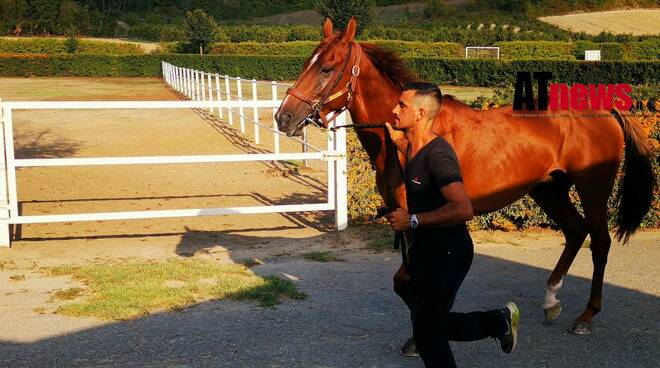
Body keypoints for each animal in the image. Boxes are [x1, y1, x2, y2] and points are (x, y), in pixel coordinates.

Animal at [274, 17, 656, 340]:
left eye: (326, 68)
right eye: (307, 61)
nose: (284, 117)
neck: (410, 136)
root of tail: (601, 106)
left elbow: (417, 280)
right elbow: (406, 281)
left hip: (593, 188)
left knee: (599, 241)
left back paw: (586, 316)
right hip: (548, 188)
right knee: (575, 232)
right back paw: (550, 300)